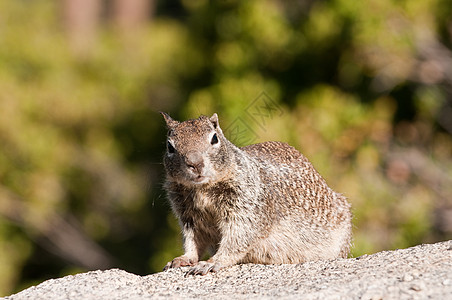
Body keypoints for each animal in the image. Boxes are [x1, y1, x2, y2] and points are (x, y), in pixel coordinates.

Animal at [161, 112, 352, 274]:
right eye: (170, 147)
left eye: (214, 138)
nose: (195, 163)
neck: (202, 189)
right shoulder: (188, 216)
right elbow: (193, 241)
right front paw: (184, 259)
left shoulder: (248, 206)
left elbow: (237, 238)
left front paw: (211, 263)